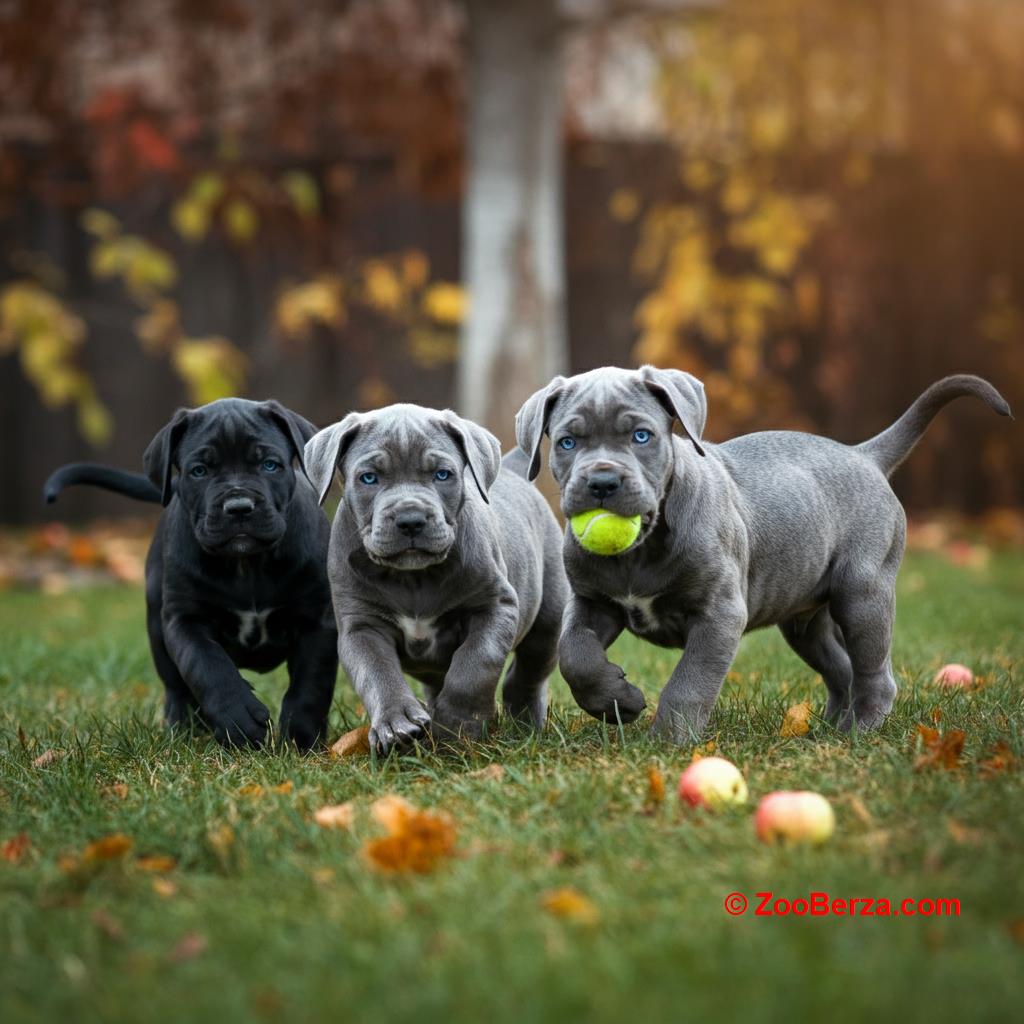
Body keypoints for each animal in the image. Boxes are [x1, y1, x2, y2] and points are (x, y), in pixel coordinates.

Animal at [44, 399, 335, 753]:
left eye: (270, 465)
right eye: (199, 471)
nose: (239, 506)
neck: (246, 565)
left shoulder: (318, 622)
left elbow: (310, 685)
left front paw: (301, 740)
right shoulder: (184, 620)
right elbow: (207, 666)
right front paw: (239, 720)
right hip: (156, 626)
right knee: (176, 686)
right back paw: (181, 728)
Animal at [303, 405, 569, 753]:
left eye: (442, 474)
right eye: (369, 478)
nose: (410, 519)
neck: (413, 578)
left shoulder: (495, 606)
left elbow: (475, 664)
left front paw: (458, 724)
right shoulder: (361, 626)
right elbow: (377, 672)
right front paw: (396, 723)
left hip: (549, 614)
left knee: (530, 669)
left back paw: (526, 723)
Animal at [516, 368, 1011, 745]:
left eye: (642, 436)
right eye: (567, 442)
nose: (602, 482)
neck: (641, 549)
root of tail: (863, 454)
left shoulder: (719, 613)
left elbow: (689, 681)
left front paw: (668, 741)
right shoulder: (591, 602)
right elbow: (575, 654)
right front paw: (618, 702)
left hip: (863, 595)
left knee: (874, 671)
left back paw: (861, 731)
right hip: (806, 621)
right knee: (841, 668)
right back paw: (831, 727)